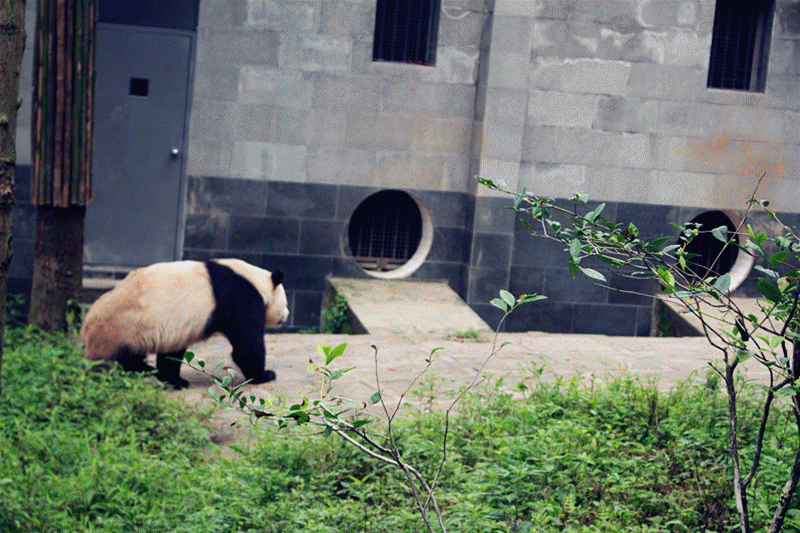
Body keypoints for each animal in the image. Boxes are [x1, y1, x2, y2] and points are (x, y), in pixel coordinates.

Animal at [78, 256, 290, 386]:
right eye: (285, 301)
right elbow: (246, 345)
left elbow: (171, 353)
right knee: (123, 359)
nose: (286, 315)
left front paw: (172, 379)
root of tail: (86, 331)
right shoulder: (240, 297)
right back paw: (143, 369)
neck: (254, 279)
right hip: (124, 328)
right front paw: (265, 375)